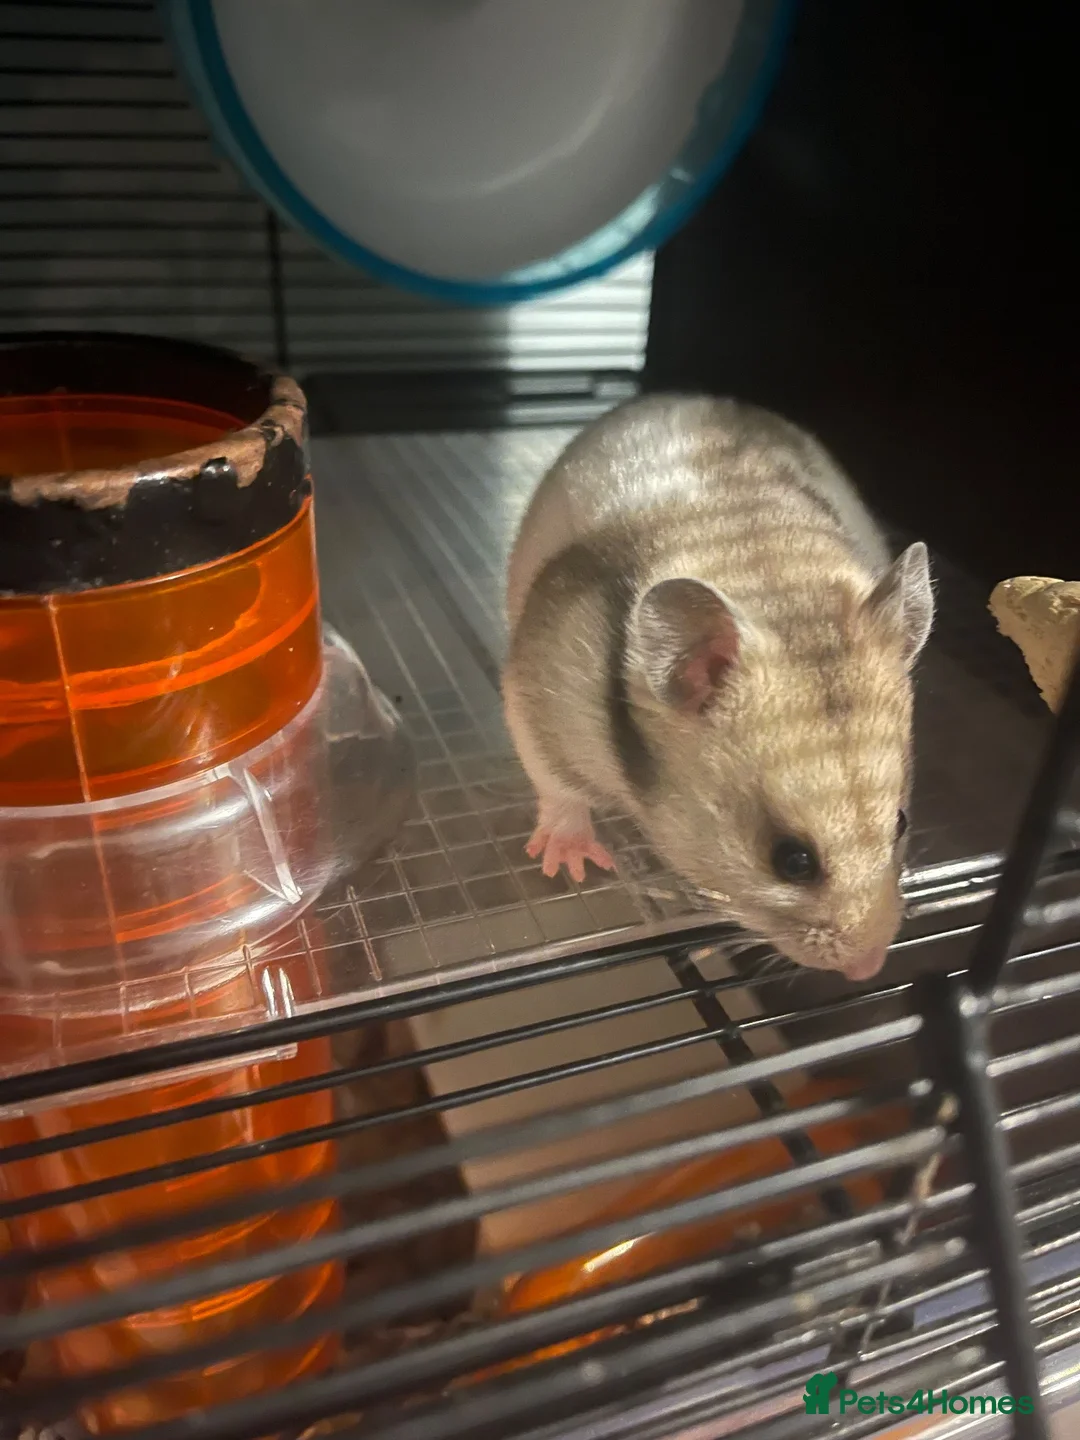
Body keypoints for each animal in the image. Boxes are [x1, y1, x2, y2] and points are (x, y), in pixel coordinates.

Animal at [502, 395, 933, 982]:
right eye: (791, 860)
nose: (868, 970)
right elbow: (557, 785)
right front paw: (570, 865)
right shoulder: (537, 694)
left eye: (901, 822)